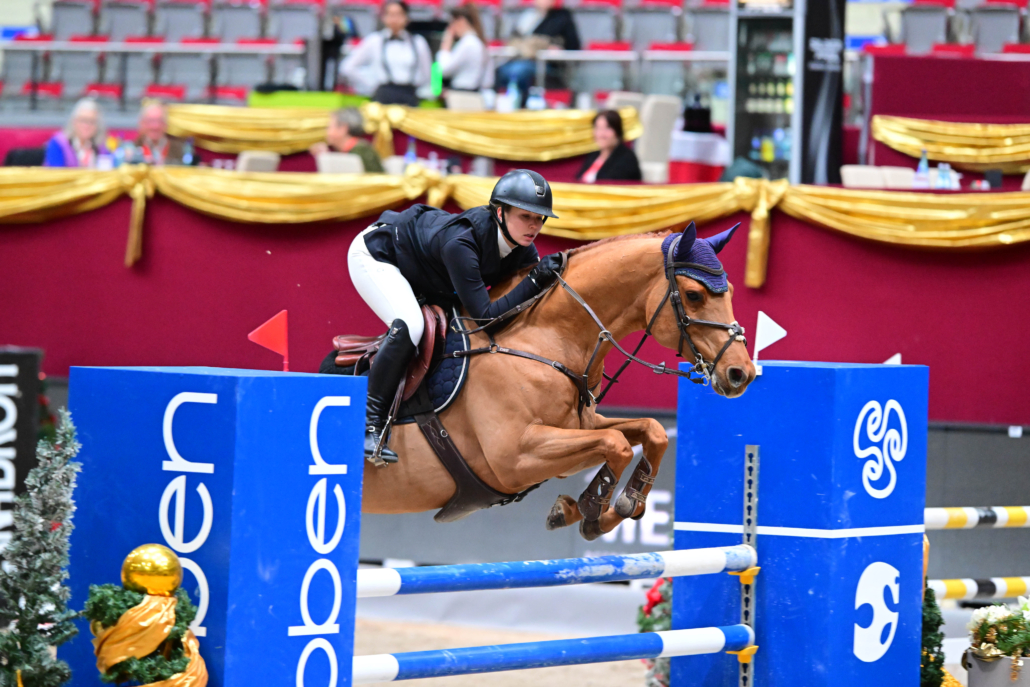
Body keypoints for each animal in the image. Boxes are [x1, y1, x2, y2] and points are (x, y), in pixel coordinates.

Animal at [359, 221, 756, 540]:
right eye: (694, 295)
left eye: (732, 292)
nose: (742, 373)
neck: (542, 337)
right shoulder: (515, 457)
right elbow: (616, 444)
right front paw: (589, 506)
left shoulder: (578, 429)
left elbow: (652, 432)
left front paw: (614, 506)